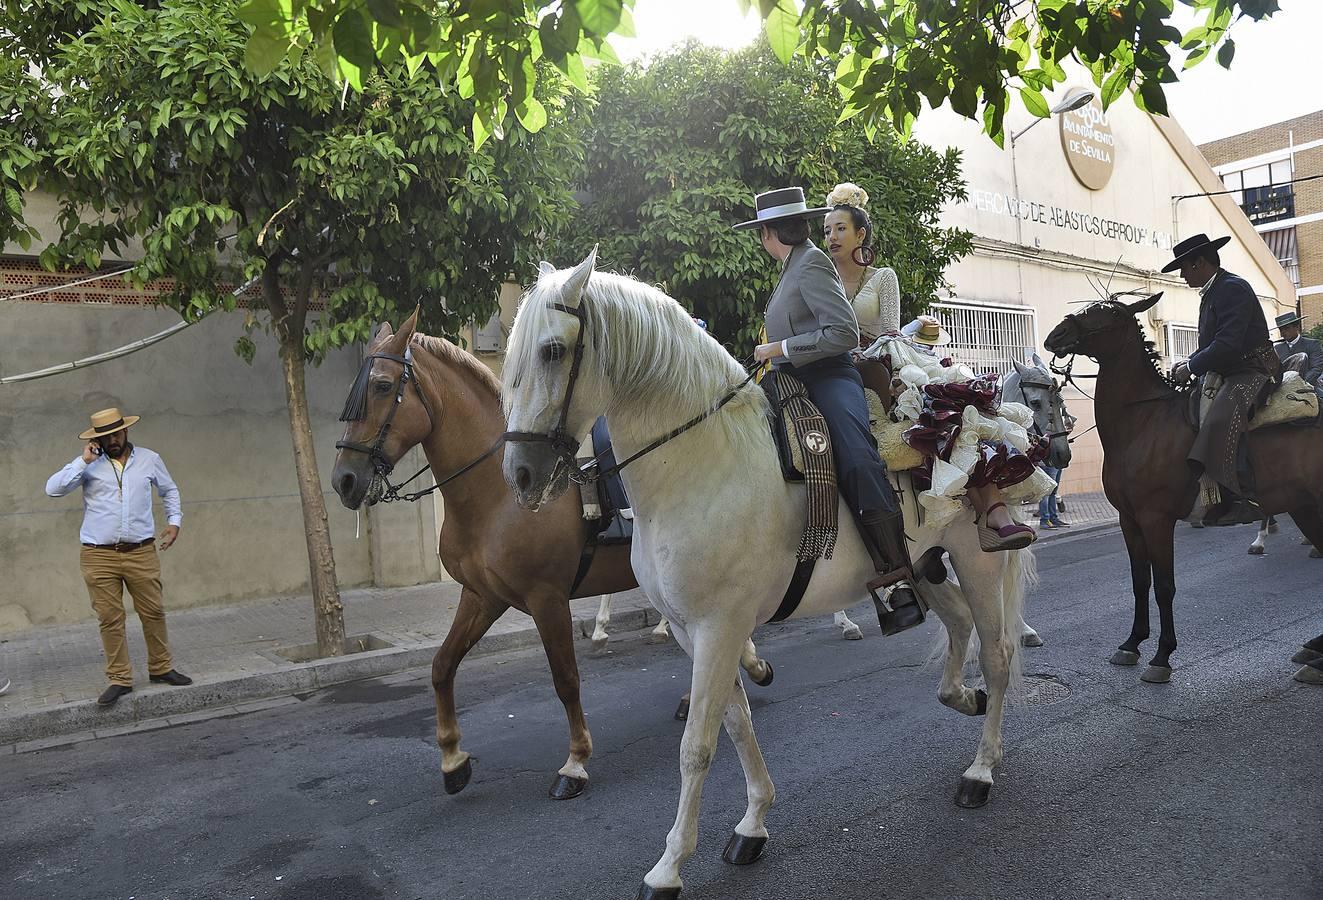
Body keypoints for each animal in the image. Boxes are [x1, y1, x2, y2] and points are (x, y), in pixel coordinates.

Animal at [500, 250, 1026, 894]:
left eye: (552, 350)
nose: (521, 475)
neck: (701, 462)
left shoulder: (721, 626)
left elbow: (697, 745)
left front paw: (669, 866)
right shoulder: (694, 631)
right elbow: (735, 723)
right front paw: (752, 824)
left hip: (978, 560)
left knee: (996, 654)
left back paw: (981, 769)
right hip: (922, 564)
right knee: (957, 627)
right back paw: (962, 697)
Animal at [1042, 295, 1323, 682]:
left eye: (1108, 313)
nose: (1057, 333)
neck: (1142, 423)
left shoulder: (1156, 519)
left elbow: (1164, 586)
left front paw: (1162, 655)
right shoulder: (1130, 520)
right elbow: (1140, 582)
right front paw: (1132, 643)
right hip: (1305, 506)